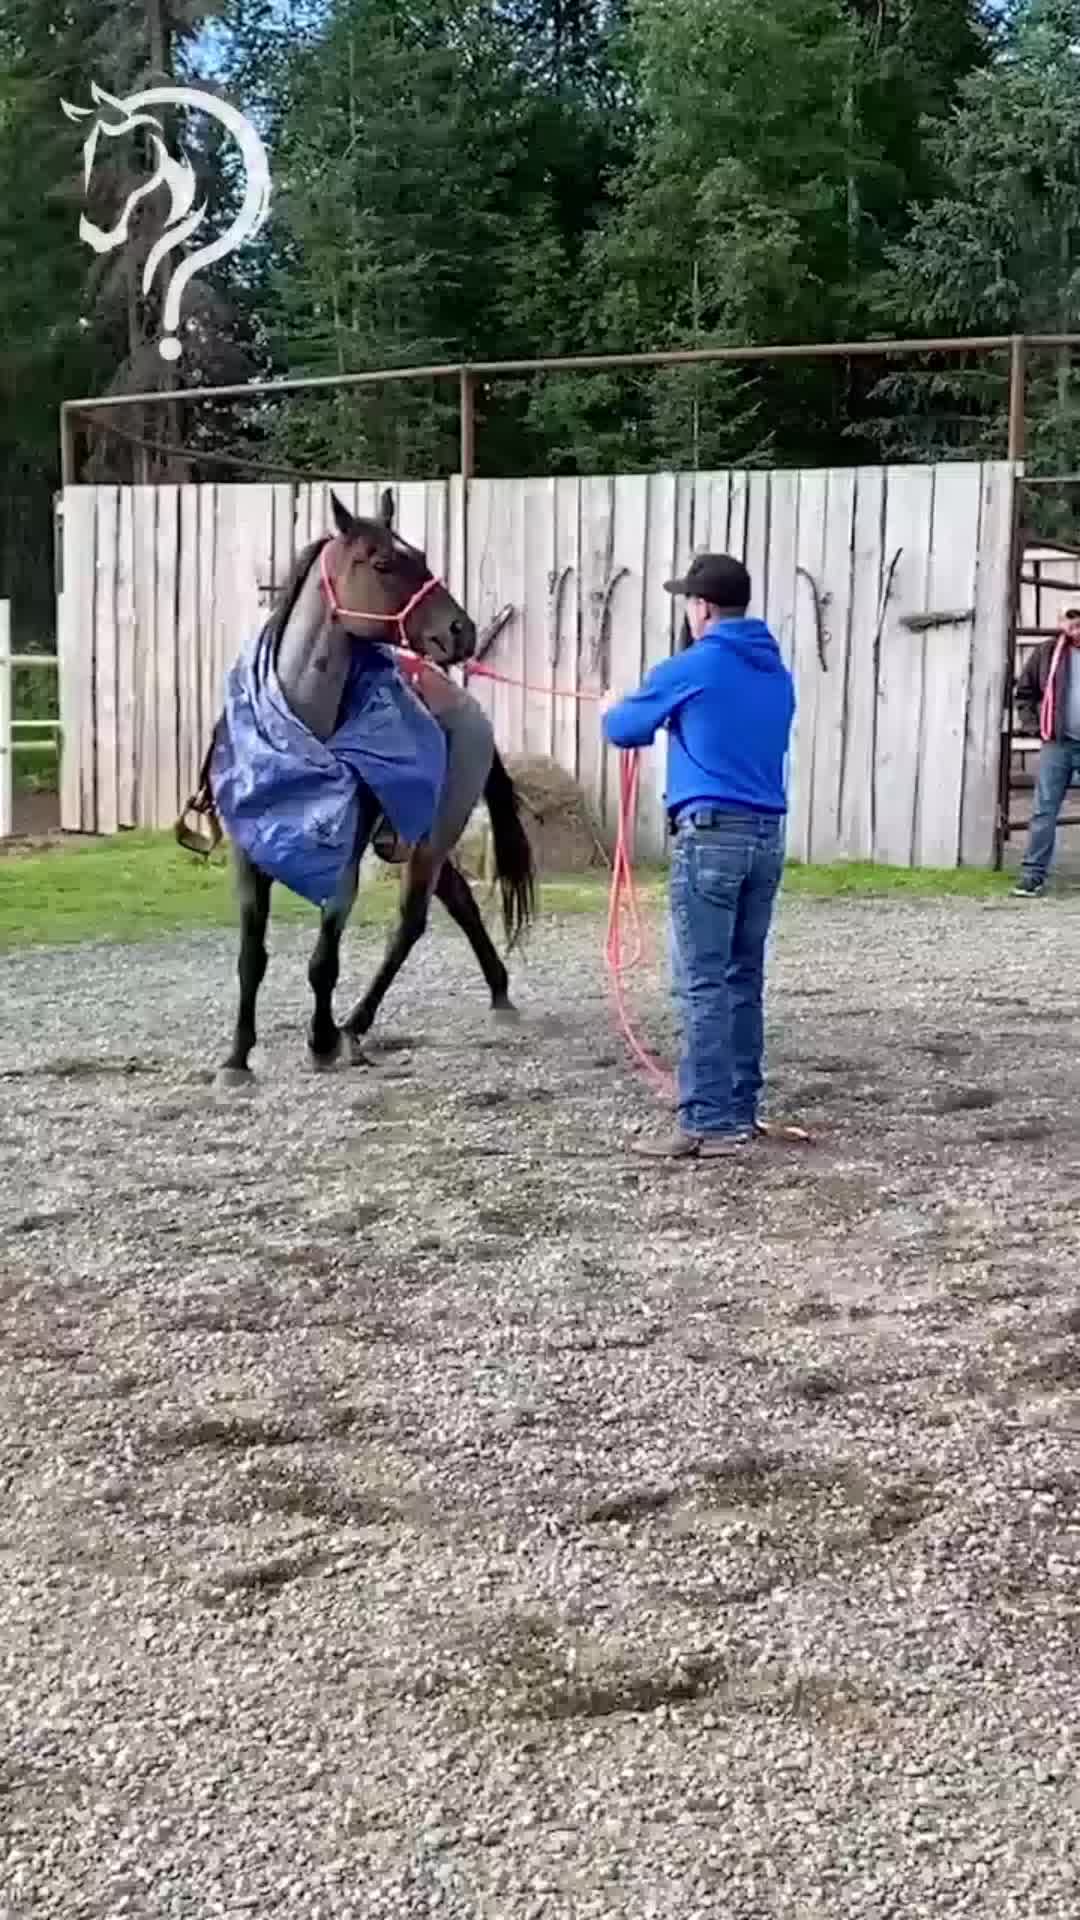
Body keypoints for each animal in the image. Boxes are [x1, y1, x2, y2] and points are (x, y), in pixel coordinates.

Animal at [179, 489, 535, 1086]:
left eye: (420, 555)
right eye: (385, 562)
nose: (460, 631)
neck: (299, 731)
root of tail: (470, 712)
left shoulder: (342, 861)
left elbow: (324, 959)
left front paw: (321, 1040)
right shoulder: (250, 855)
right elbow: (252, 958)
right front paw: (236, 1058)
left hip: (432, 838)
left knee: (410, 923)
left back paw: (354, 1023)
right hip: (420, 838)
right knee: (459, 901)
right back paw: (499, 994)